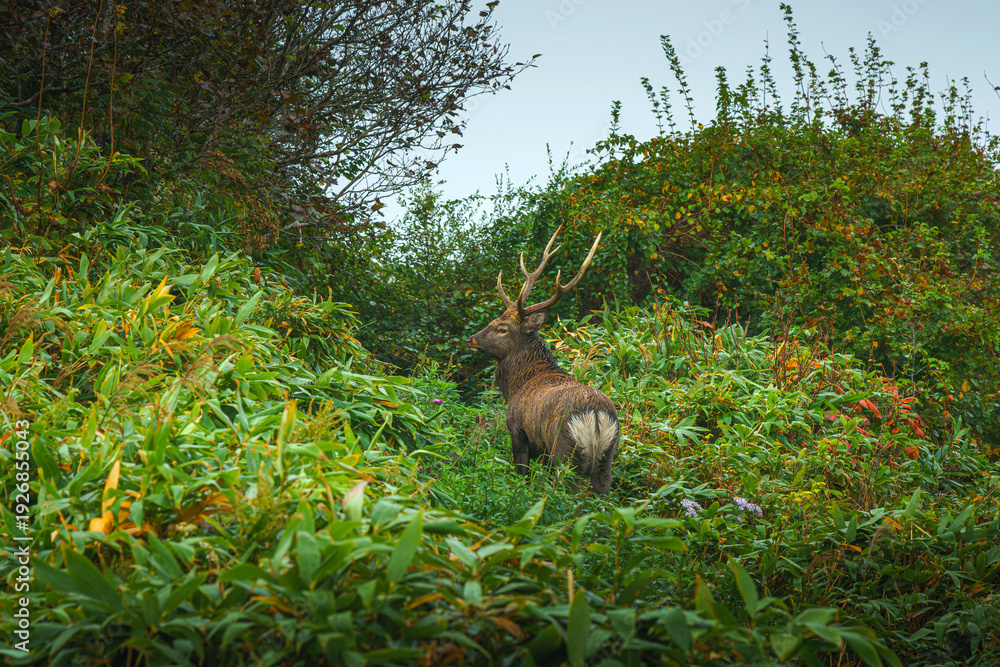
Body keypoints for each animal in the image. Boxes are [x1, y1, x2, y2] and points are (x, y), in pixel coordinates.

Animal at [465, 225, 619, 494]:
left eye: (502, 329)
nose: (470, 339)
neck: (516, 385)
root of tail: (596, 416)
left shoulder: (518, 431)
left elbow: (522, 475)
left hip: (564, 448)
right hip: (608, 455)